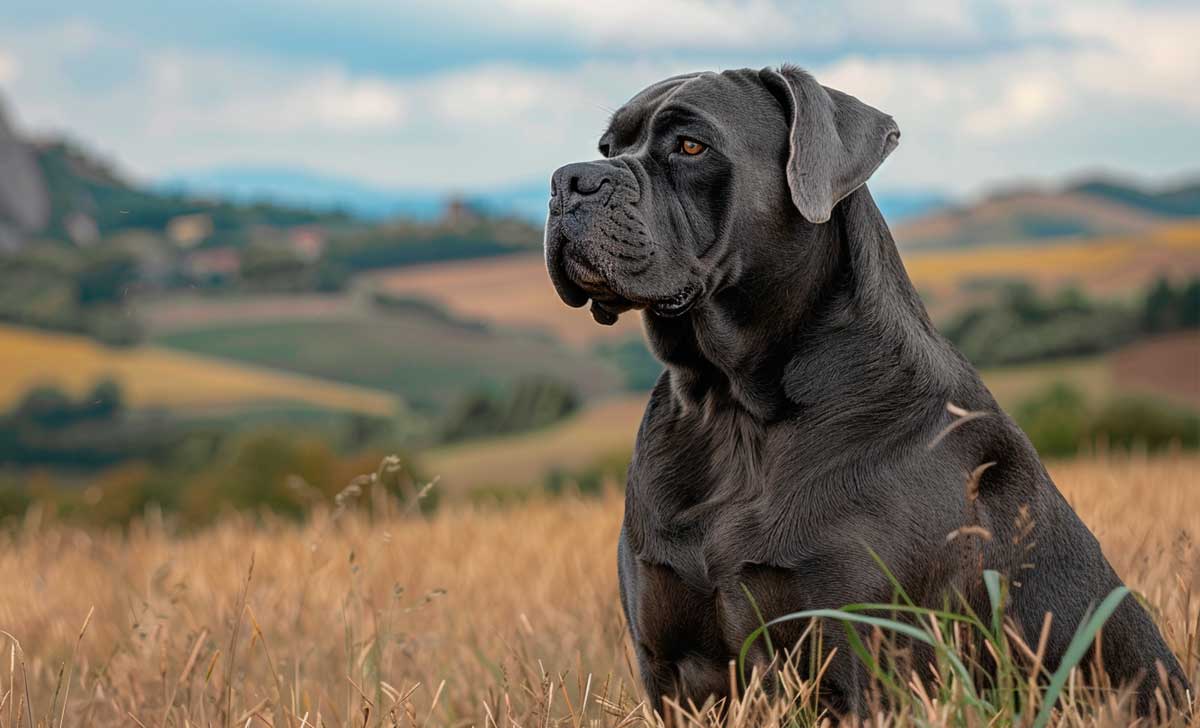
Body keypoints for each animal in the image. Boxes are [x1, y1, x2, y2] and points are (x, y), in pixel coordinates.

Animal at [547, 65, 1190, 714]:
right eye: (609, 147)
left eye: (690, 145)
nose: (571, 179)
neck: (731, 408)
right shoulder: (671, 668)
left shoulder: (864, 661)